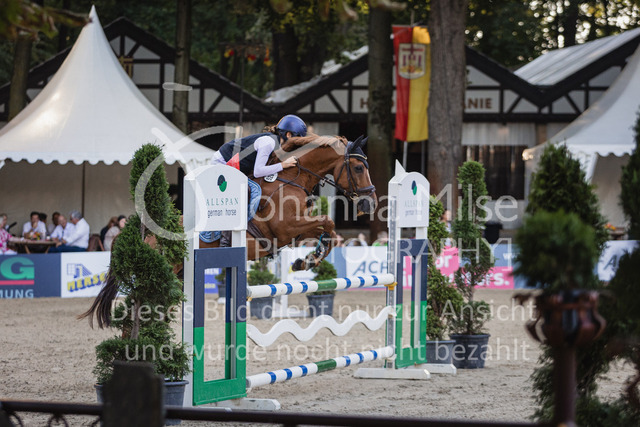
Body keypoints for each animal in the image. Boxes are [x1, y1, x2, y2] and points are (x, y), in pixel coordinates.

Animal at [199, 133, 378, 270]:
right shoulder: (286, 227)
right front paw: (315, 254)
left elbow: (331, 233)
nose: (372, 203)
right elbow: (328, 221)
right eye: (359, 168)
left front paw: (308, 261)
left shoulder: (296, 230)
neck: (293, 179)